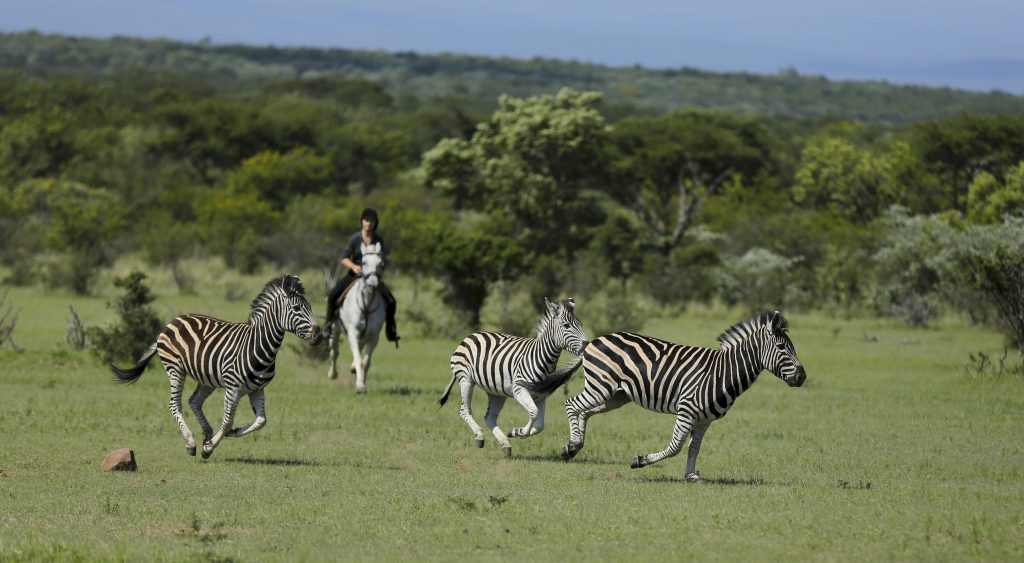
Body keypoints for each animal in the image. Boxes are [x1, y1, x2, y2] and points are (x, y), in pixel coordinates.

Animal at [111, 274, 322, 459]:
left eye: (310, 307)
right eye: (296, 308)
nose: (318, 335)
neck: (260, 347)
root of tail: (175, 320)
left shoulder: (258, 389)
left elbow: (261, 421)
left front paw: (228, 434)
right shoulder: (233, 388)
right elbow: (228, 421)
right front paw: (209, 448)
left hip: (207, 378)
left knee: (194, 401)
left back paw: (207, 433)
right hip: (175, 369)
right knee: (174, 404)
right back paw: (191, 444)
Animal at [439, 298, 588, 457]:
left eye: (581, 325)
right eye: (566, 326)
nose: (587, 346)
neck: (542, 359)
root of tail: (472, 335)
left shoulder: (540, 396)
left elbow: (540, 425)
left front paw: (515, 432)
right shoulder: (519, 390)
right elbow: (534, 413)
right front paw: (521, 432)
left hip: (496, 392)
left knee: (489, 418)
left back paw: (505, 444)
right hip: (466, 380)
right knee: (464, 411)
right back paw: (479, 437)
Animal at [561, 311, 806, 482]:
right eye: (782, 347)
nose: (802, 377)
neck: (723, 373)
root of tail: (593, 341)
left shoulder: (705, 420)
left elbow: (694, 448)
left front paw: (691, 475)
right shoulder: (686, 410)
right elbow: (675, 447)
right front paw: (640, 460)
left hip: (616, 395)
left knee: (585, 412)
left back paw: (573, 446)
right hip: (600, 386)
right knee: (572, 404)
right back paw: (572, 446)